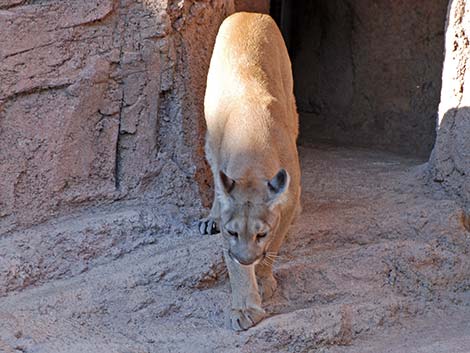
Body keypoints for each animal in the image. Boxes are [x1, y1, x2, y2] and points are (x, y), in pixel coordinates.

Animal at [198, 11, 302, 330]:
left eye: (260, 234)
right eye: (233, 232)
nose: (246, 259)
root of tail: (248, 12)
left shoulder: (288, 201)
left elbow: (276, 243)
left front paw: (264, 279)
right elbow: (234, 267)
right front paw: (244, 307)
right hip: (209, 136)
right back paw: (210, 218)